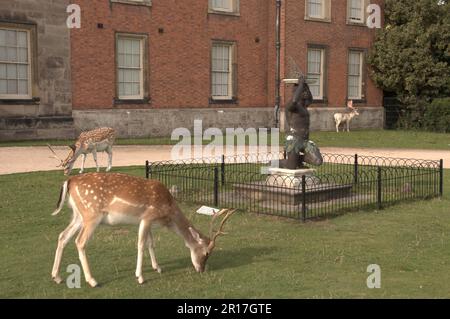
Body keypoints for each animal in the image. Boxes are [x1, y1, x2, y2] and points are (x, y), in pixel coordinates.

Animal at [50, 174, 236, 288]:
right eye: (206, 252)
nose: (201, 269)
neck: (167, 212)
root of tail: (69, 181)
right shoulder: (147, 217)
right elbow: (140, 245)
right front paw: (140, 277)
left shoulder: (148, 221)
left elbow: (150, 243)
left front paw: (157, 268)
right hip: (91, 214)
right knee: (79, 241)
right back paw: (92, 280)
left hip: (78, 215)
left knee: (62, 236)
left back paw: (56, 276)